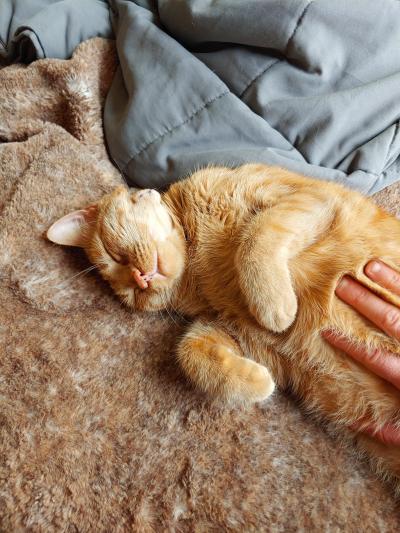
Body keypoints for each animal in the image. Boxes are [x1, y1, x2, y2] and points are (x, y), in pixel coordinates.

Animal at [47, 165, 400, 490]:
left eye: (114, 254)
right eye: (129, 293)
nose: (140, 280)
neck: (198, 265)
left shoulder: (307, 198)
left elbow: (256, 236)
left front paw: (274, 306)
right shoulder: (237, 332)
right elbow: (190, 351)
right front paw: (258, 383)